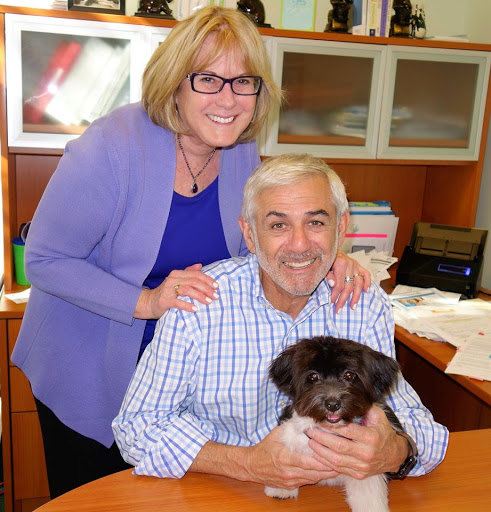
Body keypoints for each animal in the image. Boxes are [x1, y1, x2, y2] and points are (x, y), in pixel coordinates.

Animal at [264, 336, 403, 512]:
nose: (332, 404)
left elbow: (368, 492)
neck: (331, 429)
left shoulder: (366, 465)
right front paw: (281, 489)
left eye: (349, 375)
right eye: (313, 377)